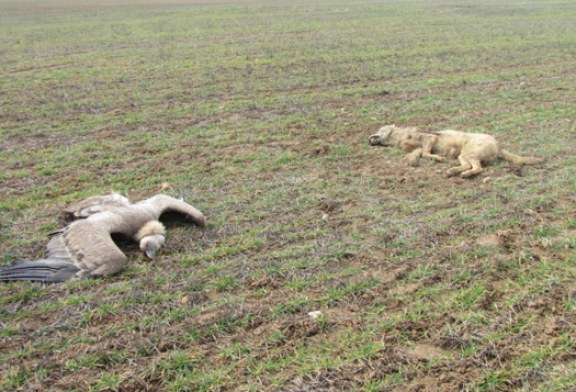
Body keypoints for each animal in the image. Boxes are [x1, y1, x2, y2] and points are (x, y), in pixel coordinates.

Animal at [368, 125, 544, 178]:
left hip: (468, 152)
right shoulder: (418, 146)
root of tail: (497, 144)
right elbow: (416, 153)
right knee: (469, 166)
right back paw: (452, 171)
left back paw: (463, 173)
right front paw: (412, 160)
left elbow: (425, 152)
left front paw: (437, 158)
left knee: (478, 168)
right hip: (462, 155)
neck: (400, 135)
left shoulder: (430, 138)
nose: (369, 138)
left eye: (380, 129)